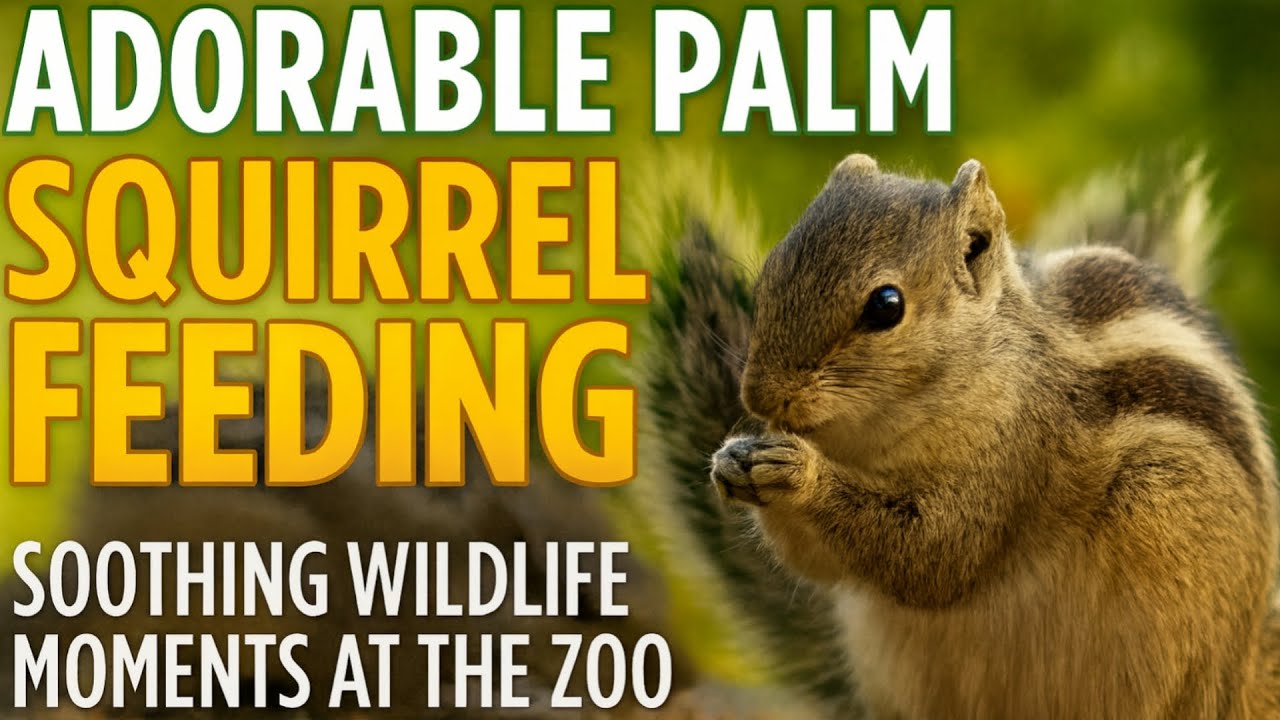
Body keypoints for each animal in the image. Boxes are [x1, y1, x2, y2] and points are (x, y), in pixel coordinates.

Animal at [636, 151, 1280, 718]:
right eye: (770, 273)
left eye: (886, 306)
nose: (760, 398)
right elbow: (822, 564)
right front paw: (734, 459)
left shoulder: (1019, 454)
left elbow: (938, 554)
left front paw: (801, 475)